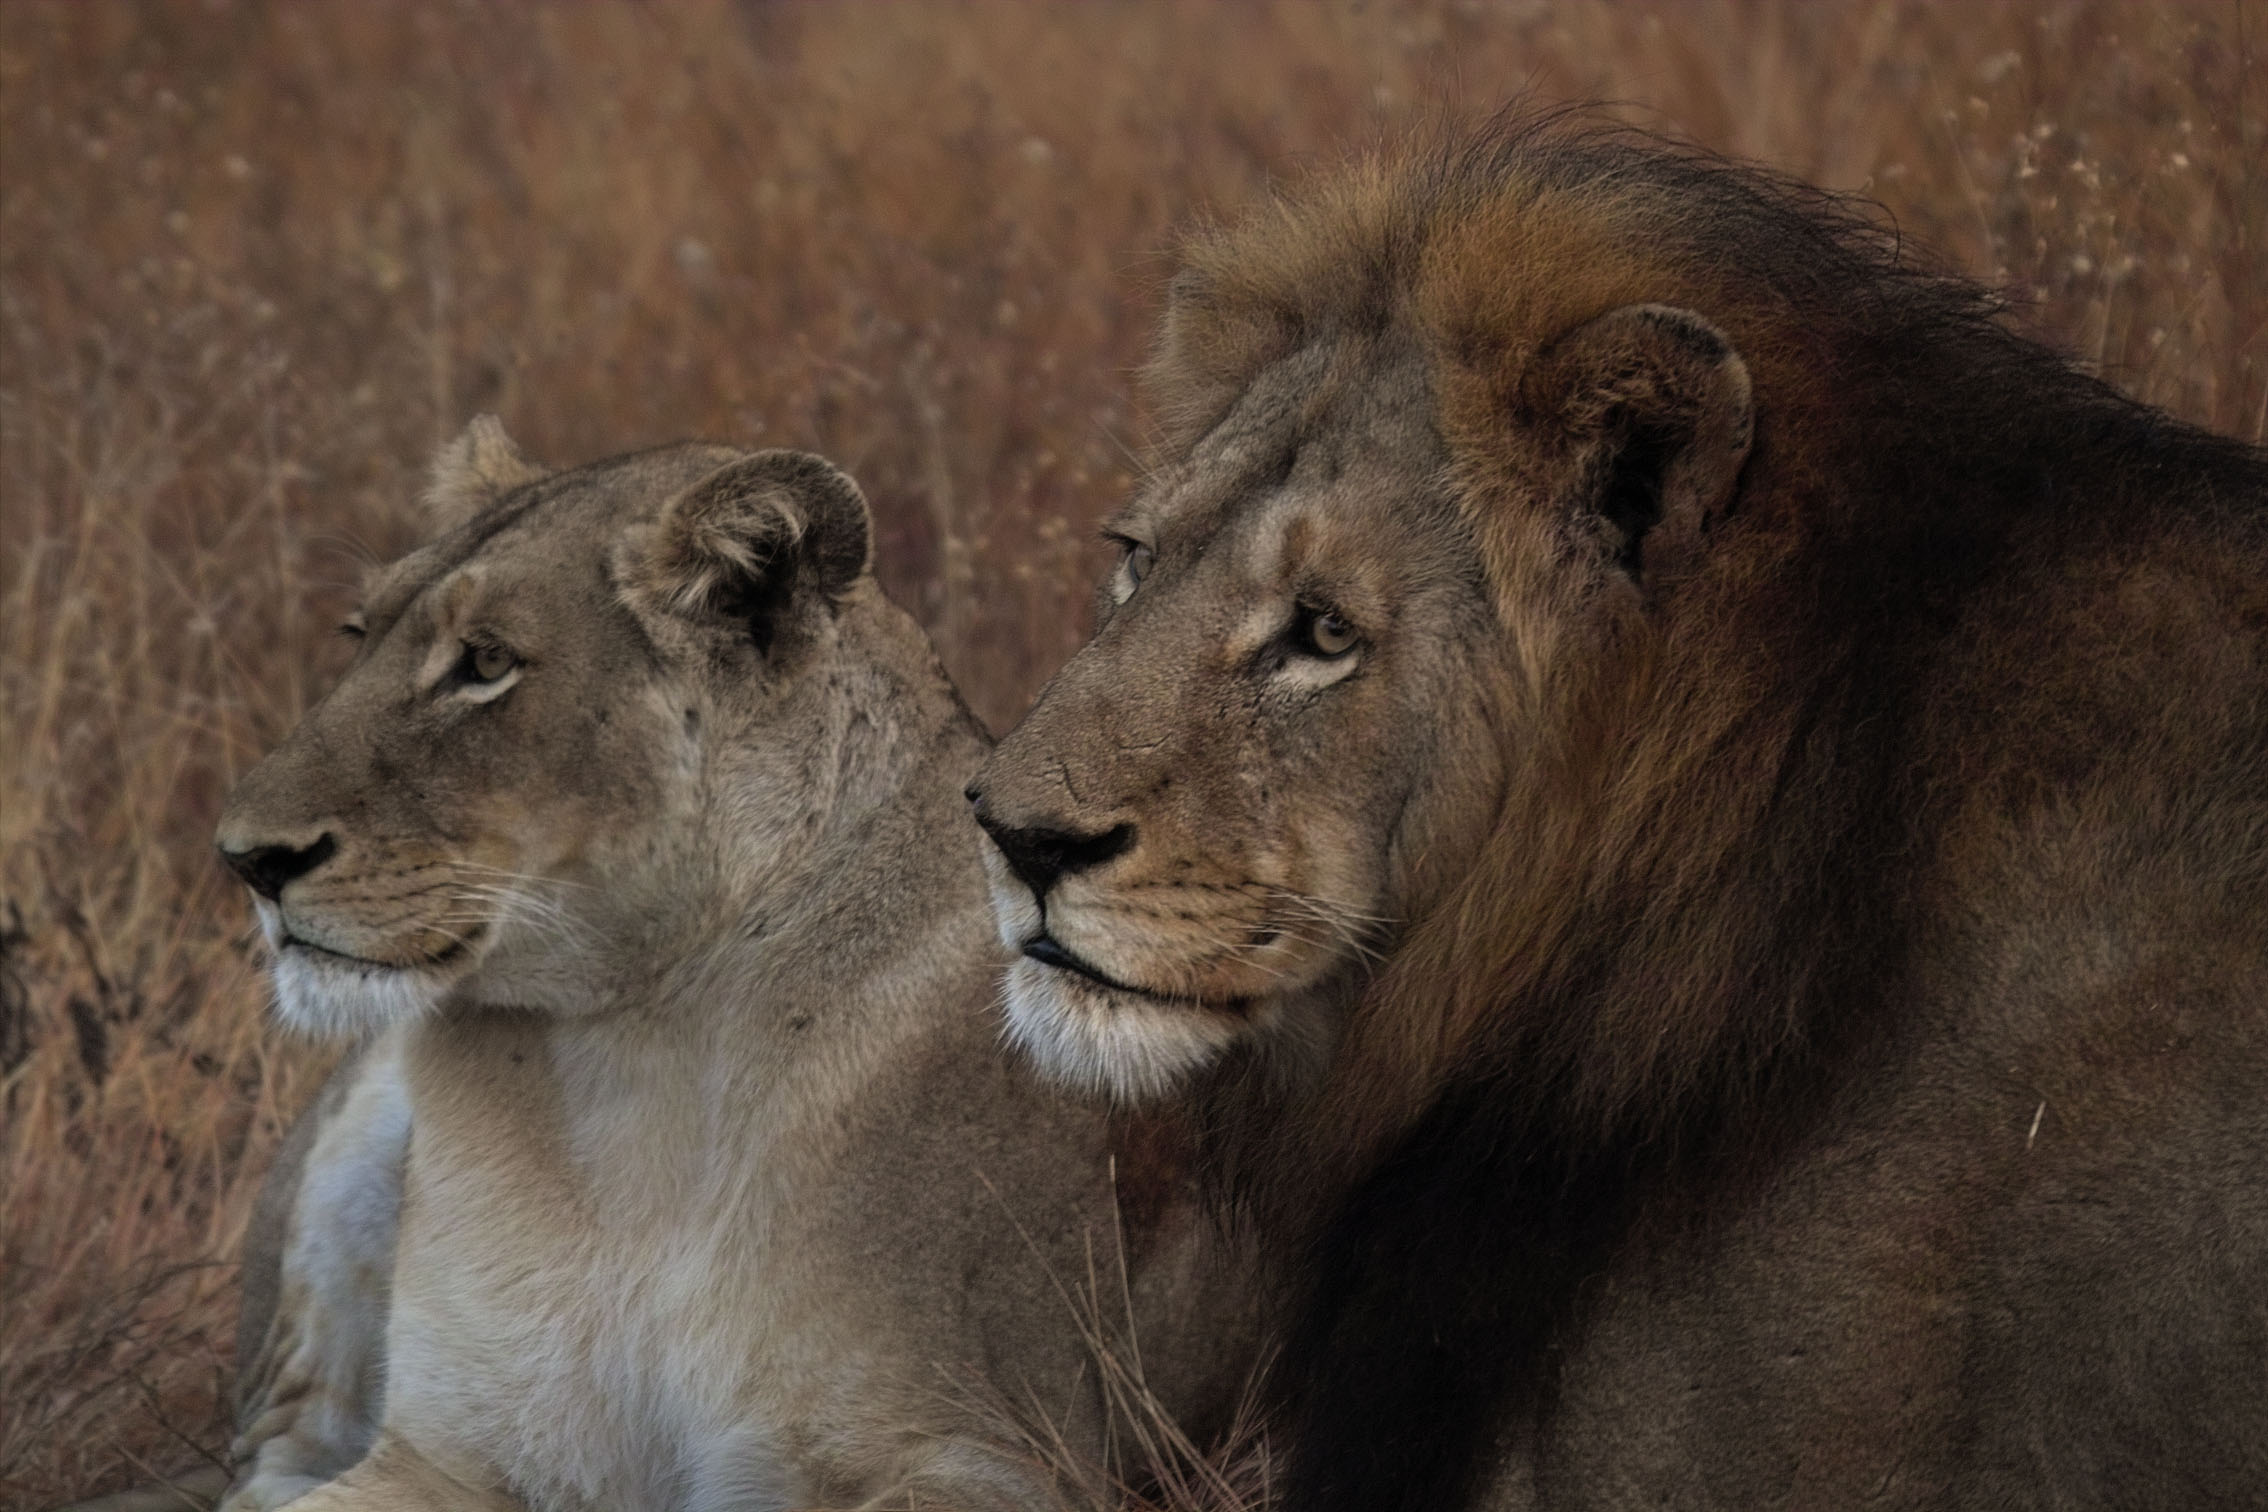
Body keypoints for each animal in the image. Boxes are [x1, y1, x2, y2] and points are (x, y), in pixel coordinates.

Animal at [206, 421, 1253, 1511]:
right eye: (357, 636)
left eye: (485, 662)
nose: (246, 859)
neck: (625, 1071)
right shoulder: (440, 1453)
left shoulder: (1003, 1454)